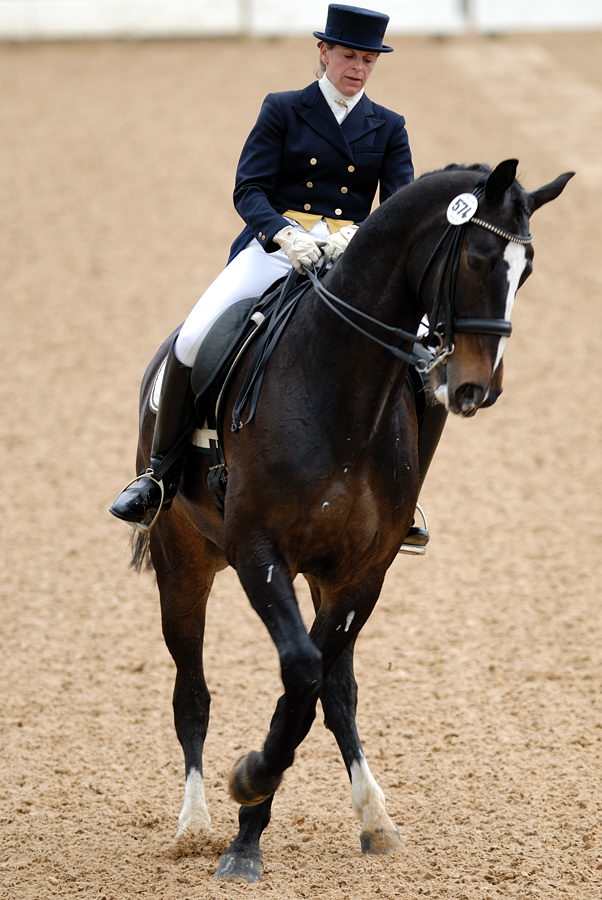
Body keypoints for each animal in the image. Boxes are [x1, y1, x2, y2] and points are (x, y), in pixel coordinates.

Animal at [127, 159, 572, 881]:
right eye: (478, 256)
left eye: (525, 270)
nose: (477, 389)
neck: (340, 391)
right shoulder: (257, 552)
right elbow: (298, 672)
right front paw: (247, 797)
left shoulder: (360, 572)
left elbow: (314, 687)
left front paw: (254, 816)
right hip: (182, 557)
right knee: (191, 692)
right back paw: (193, 826)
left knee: (335, 689)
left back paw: (374, 819)